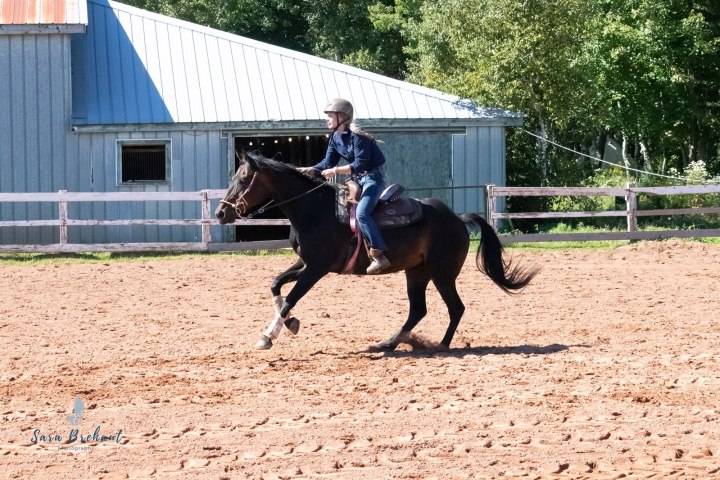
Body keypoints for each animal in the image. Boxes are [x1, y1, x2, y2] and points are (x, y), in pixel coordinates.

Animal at [215, 151, 538, 351]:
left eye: (242, 180)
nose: (220, 213)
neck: (315, 211)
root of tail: (458, 219)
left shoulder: (317, 269)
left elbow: (290, 298)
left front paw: (268, 336)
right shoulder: (304, 262)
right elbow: (276, 285)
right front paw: (291, 323)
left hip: (442, 273)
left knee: (455, 308)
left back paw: (441, 346)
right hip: (416, 272)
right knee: (418, 310)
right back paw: (391, 343)